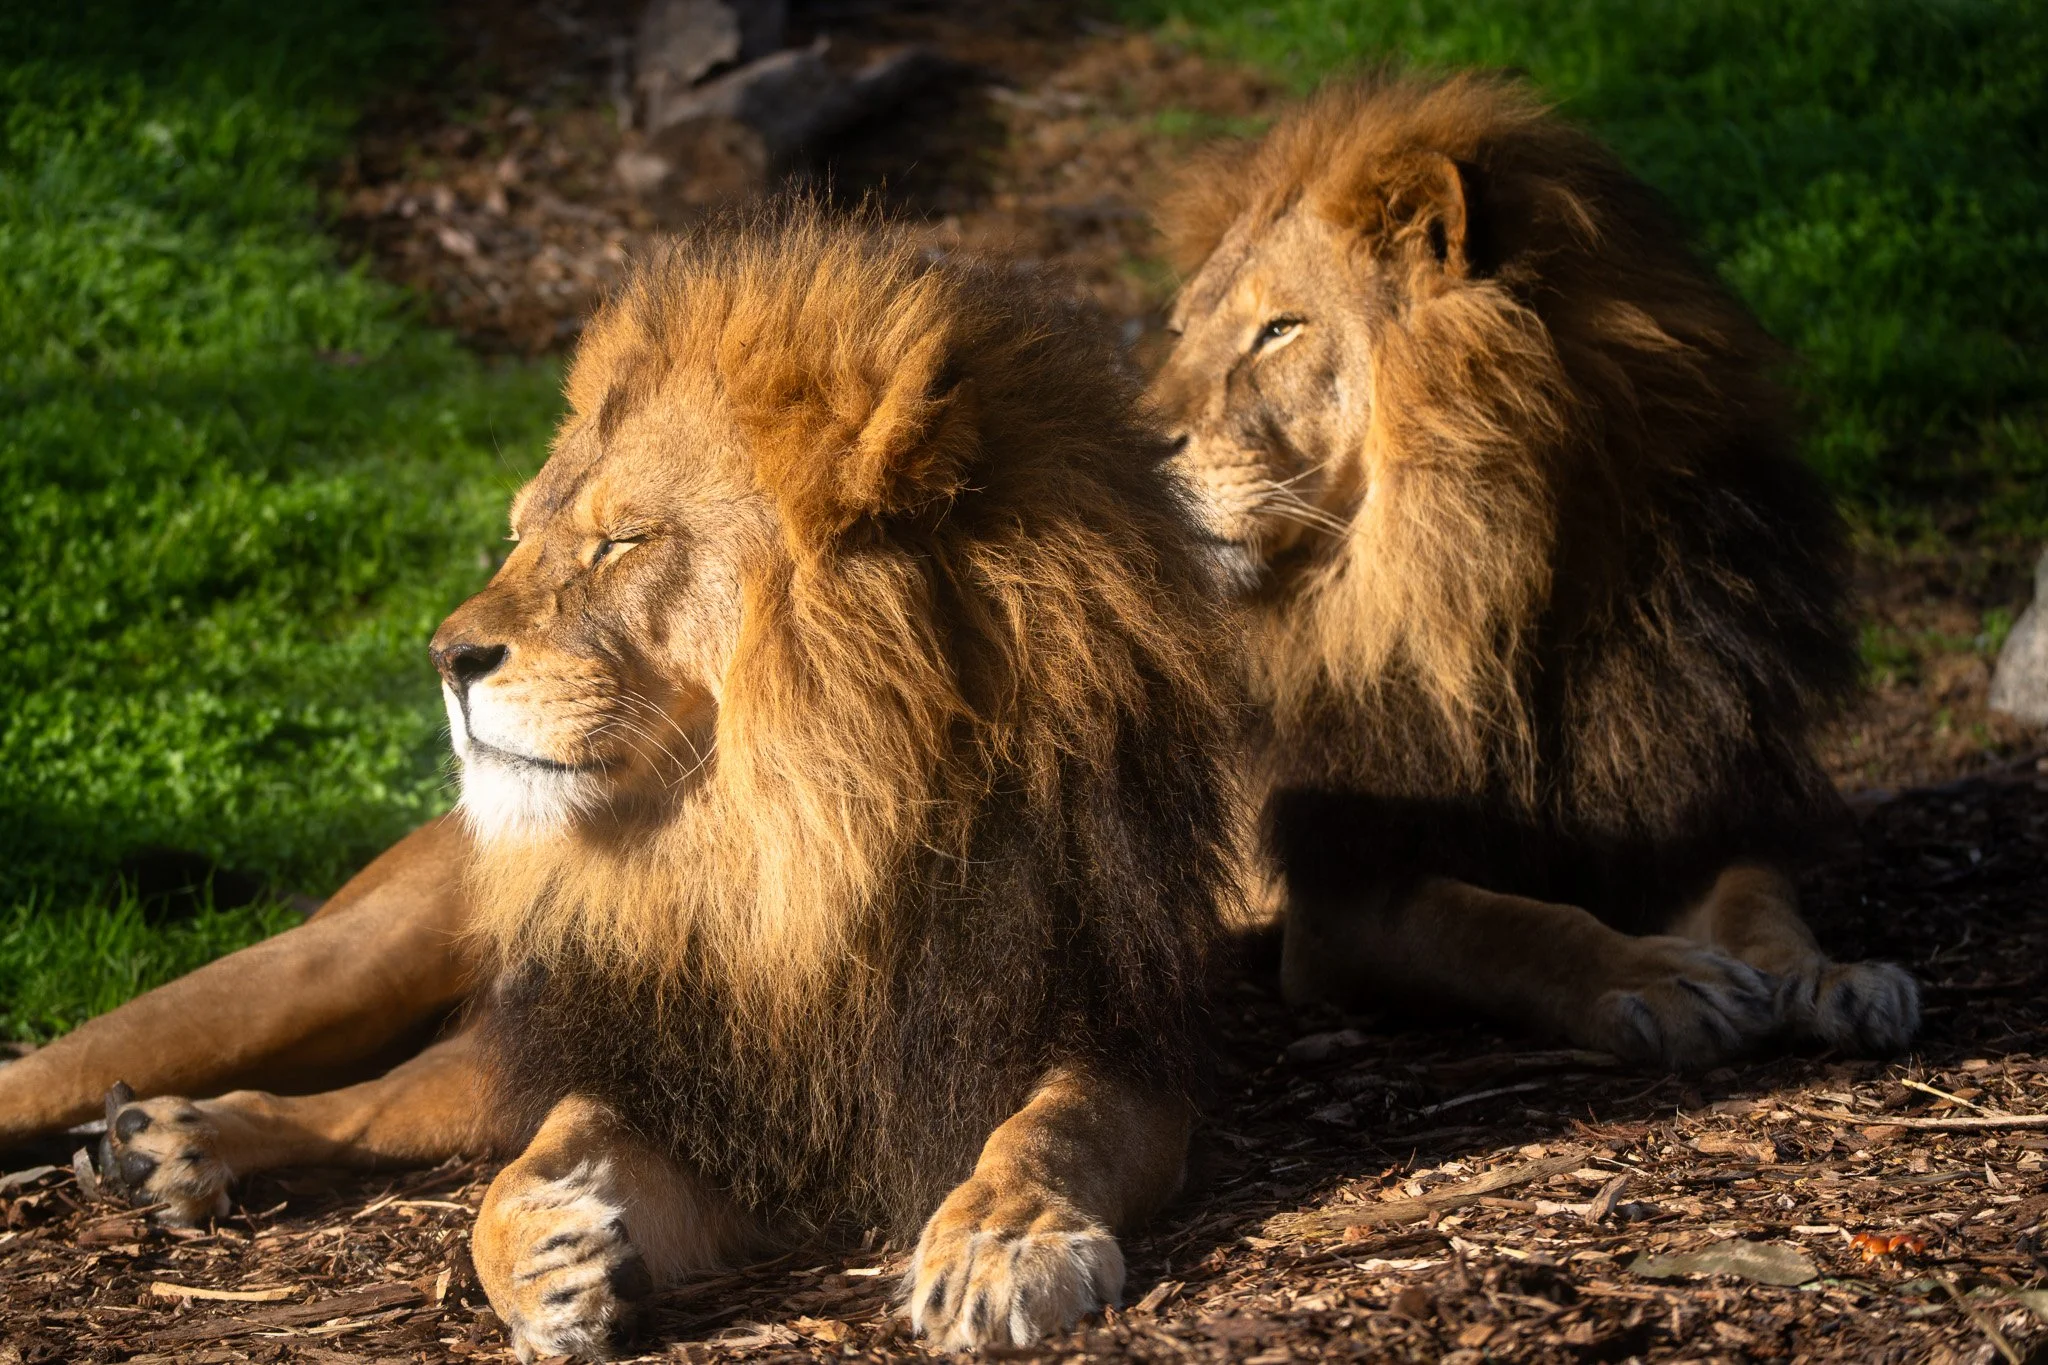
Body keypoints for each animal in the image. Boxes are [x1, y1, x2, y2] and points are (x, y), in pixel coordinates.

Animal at [23, 208, 1243, 1359]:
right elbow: (527, 1169)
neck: (790, 840)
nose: (445, 659)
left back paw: (176, 1146)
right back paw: (154, 1137)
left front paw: (1000, 1239)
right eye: (520, 535)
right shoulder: (675, 1079)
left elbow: (1049, 1131)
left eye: (622, 541)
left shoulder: (1113, 1041)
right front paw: (548, 1257)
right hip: (335, 963)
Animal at [1147, 72, 1919, 1067]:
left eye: (1281, 327)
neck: (1499, 591)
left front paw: (1830, 978)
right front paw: (1659, 979)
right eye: (1179, 332)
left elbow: (1760, 899)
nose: (1126, 445)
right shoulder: (1337, 900)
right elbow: (1507, 926)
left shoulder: (1674, 792)